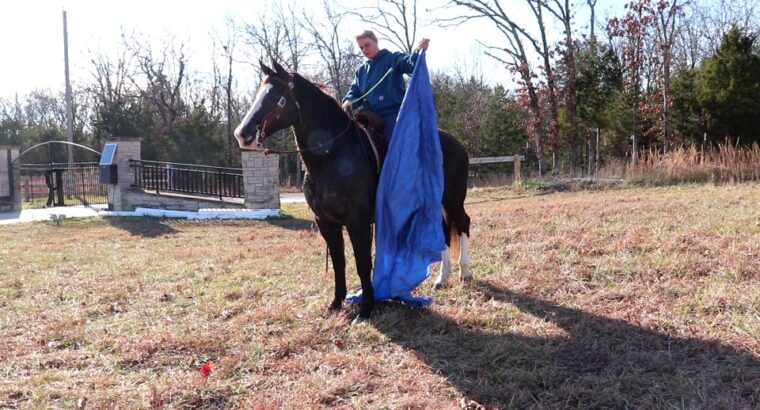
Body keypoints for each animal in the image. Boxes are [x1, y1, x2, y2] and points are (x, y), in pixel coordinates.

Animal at [235, 60, 472, 324]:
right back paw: (443, 278)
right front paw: (336, 303)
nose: (242, 134)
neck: (334, 157)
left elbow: (362, 262)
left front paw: (365, 310)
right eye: (259, 92)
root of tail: (456, 144)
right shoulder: (326, 222)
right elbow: (339, 262)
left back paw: (464, 272)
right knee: (444, 230)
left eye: (276, 96)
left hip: (453, 198)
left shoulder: (357, 221)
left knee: (462, 223)